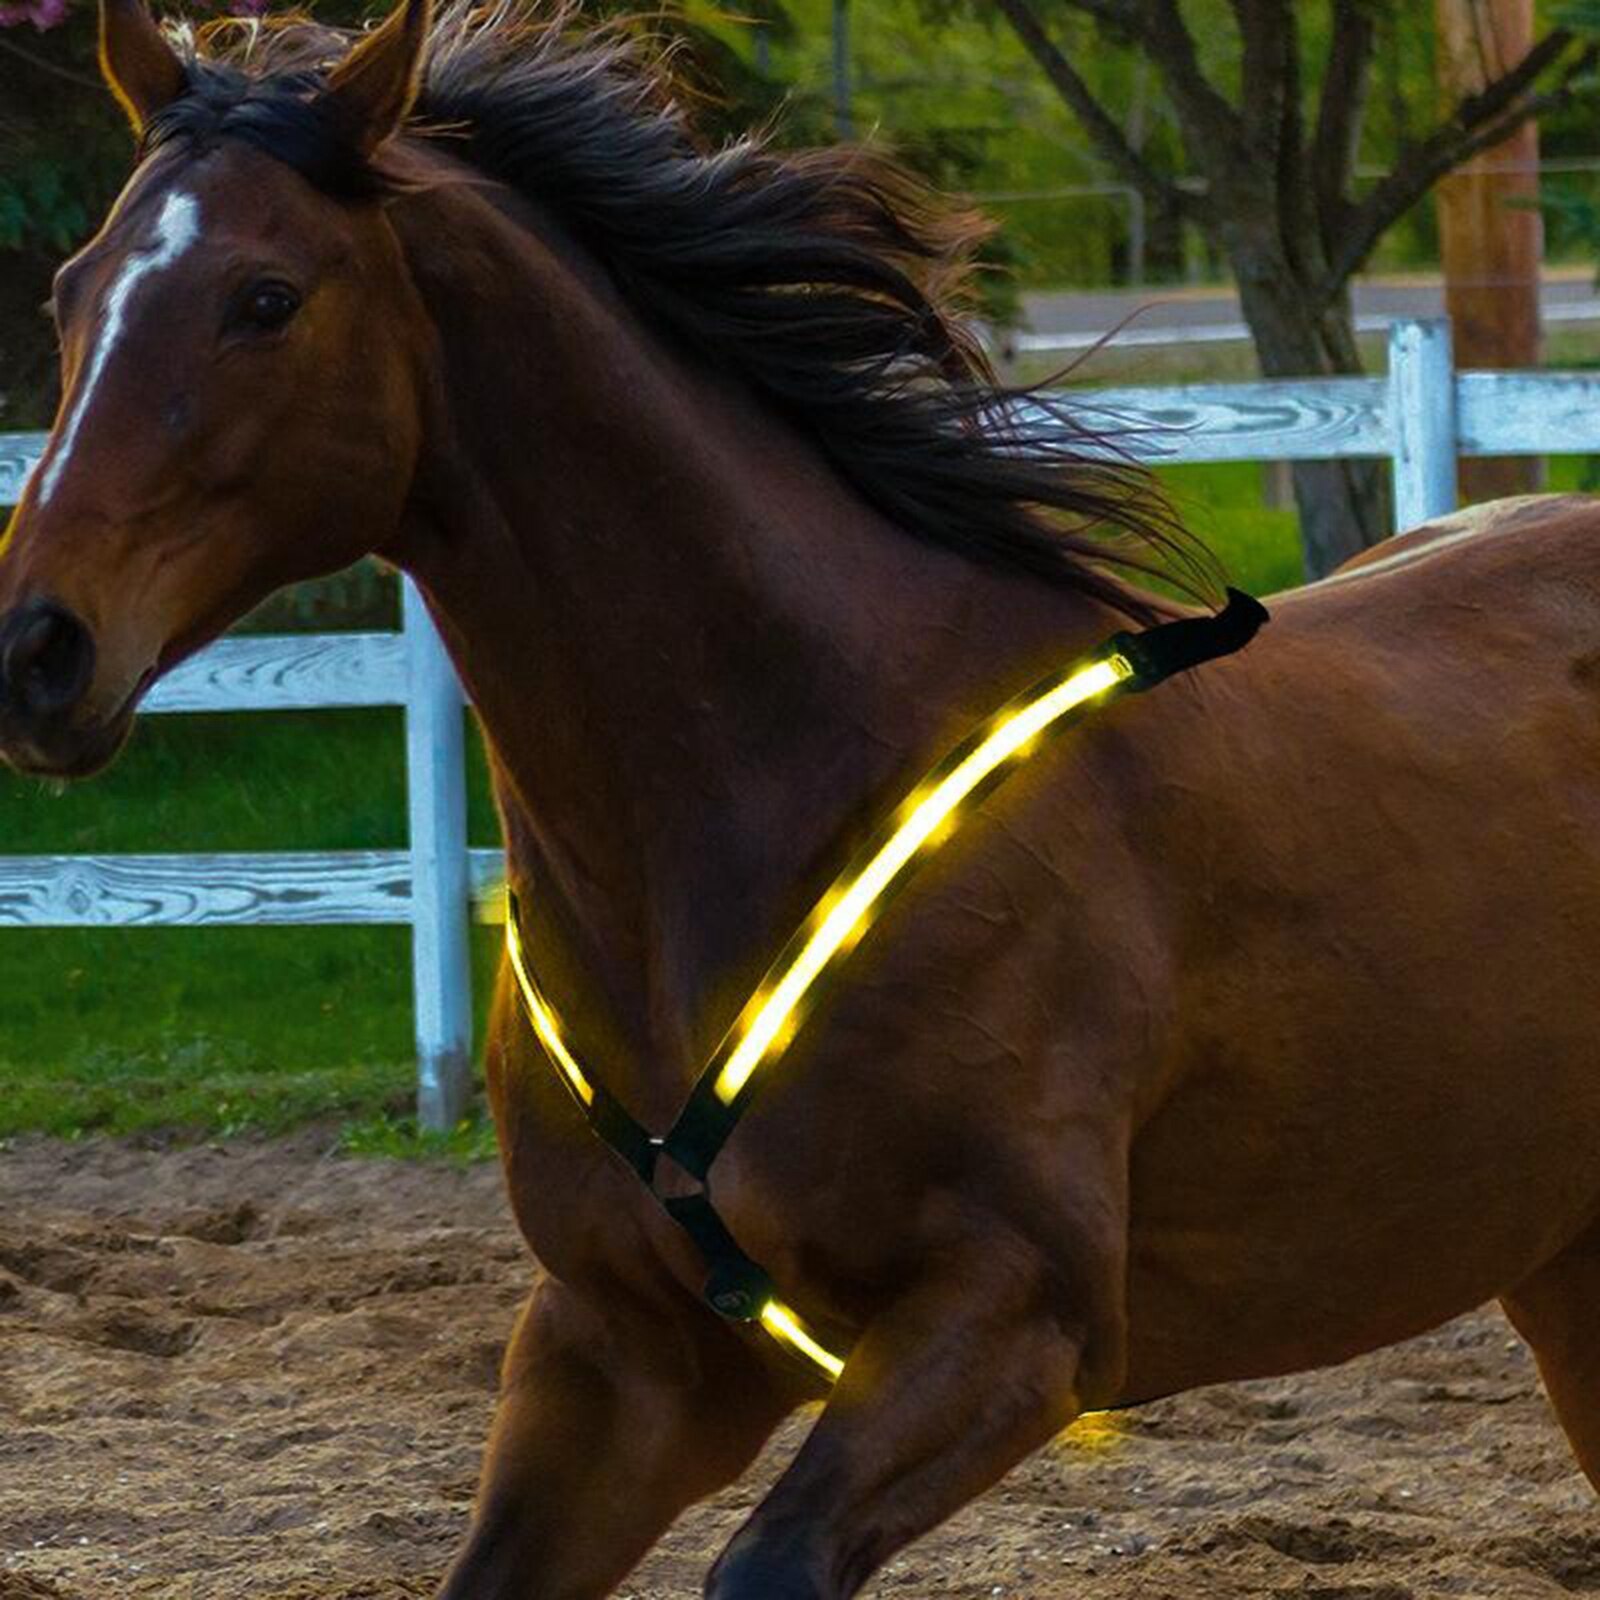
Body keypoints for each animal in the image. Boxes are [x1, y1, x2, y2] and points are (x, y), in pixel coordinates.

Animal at [1, 1, 1596, 1594]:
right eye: (70, 295)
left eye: (265, 298)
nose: (35, 648)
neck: (790, 782)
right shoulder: (624, 1354)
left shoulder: (1018, 1315)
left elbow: (768, 1560)